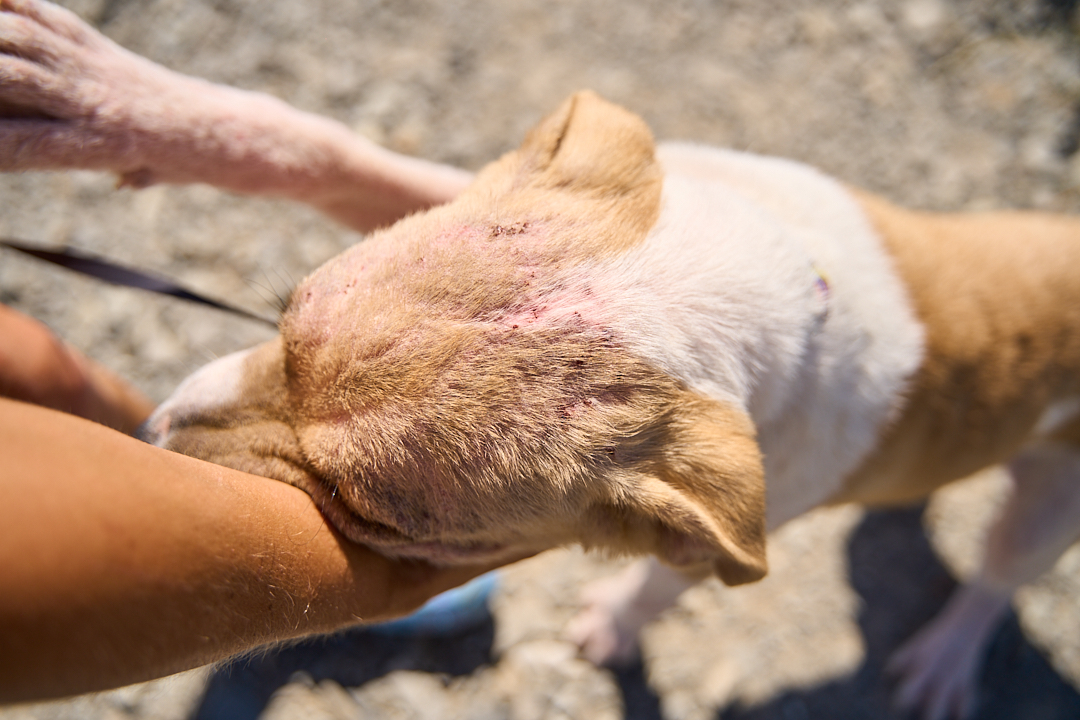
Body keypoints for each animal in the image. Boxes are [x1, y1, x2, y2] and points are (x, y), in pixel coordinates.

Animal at [4, 2, 1080, 718]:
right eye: (281, 317)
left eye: (368, 511)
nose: (150, 430)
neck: (745, 290)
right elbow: (322, 142)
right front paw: (98, 95)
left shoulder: (729, 532)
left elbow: (663, 581)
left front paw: (615, 622)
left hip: (1046, 508)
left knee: (997, 578)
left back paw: (944, 659)